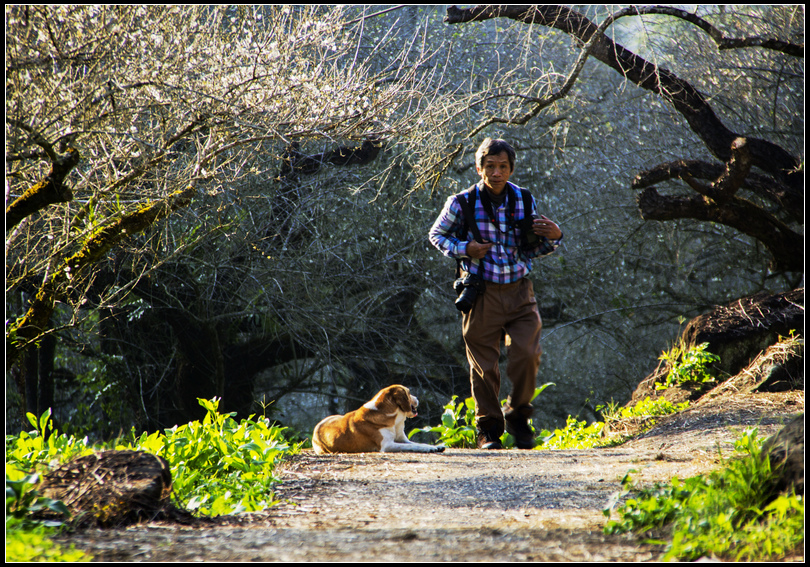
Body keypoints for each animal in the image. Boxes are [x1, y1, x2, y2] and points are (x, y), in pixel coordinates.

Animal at [312, 384, 446, 454]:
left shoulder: (403, 440)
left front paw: (435, 446)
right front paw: (429, 448)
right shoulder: (387, 445)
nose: (417, 398)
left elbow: (417, 443)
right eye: (408, 392)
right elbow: (414, 446)